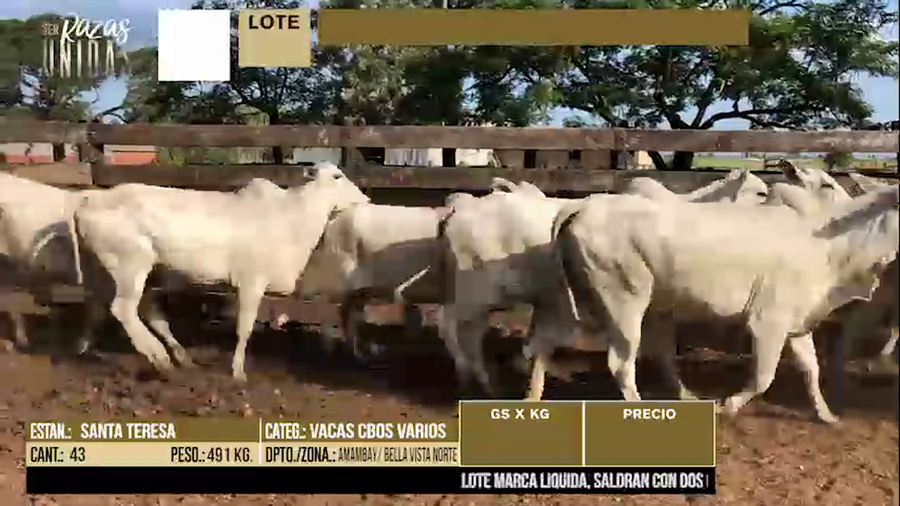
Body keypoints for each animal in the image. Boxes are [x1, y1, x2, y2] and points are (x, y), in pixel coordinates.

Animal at [71, 162, 370, 381]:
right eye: (337, 176)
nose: (365, 198)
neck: (291, 219)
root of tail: (87, 201)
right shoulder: (251, 282)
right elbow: (244, 328)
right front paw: (237, 371)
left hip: (125, 269)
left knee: (118, 309)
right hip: (130, 266)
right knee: (122, 309)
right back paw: (159, 358)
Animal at [542, 184, 898, 423]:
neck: (830, 244)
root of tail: (587, 204)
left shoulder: (797, 324)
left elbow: (811, 370)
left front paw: (827, 415)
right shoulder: (768, 322)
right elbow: (763, 376)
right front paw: (728, 404)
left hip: (654, 306)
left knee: (659, 353)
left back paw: (687, 395)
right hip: (624, 300)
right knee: (621, 362)